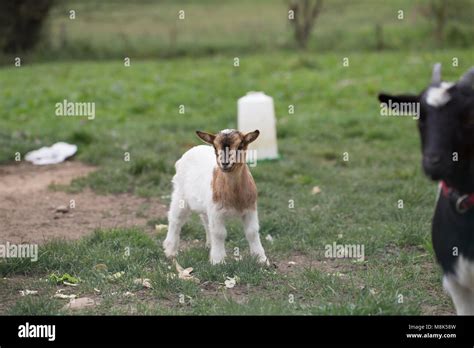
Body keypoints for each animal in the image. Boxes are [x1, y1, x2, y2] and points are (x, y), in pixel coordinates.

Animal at [162, 129, 266, 266]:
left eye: (240, 146)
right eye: (215, 147)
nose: (225, 163)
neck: (234, 196)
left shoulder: (250, 208)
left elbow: (252, 232)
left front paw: (261, 259)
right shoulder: (216, 211)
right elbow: (219, 233)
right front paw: (218, 260)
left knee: (206, 222)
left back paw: (209, 245)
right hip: (180, 195)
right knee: (175, 220)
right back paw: (170, 251)